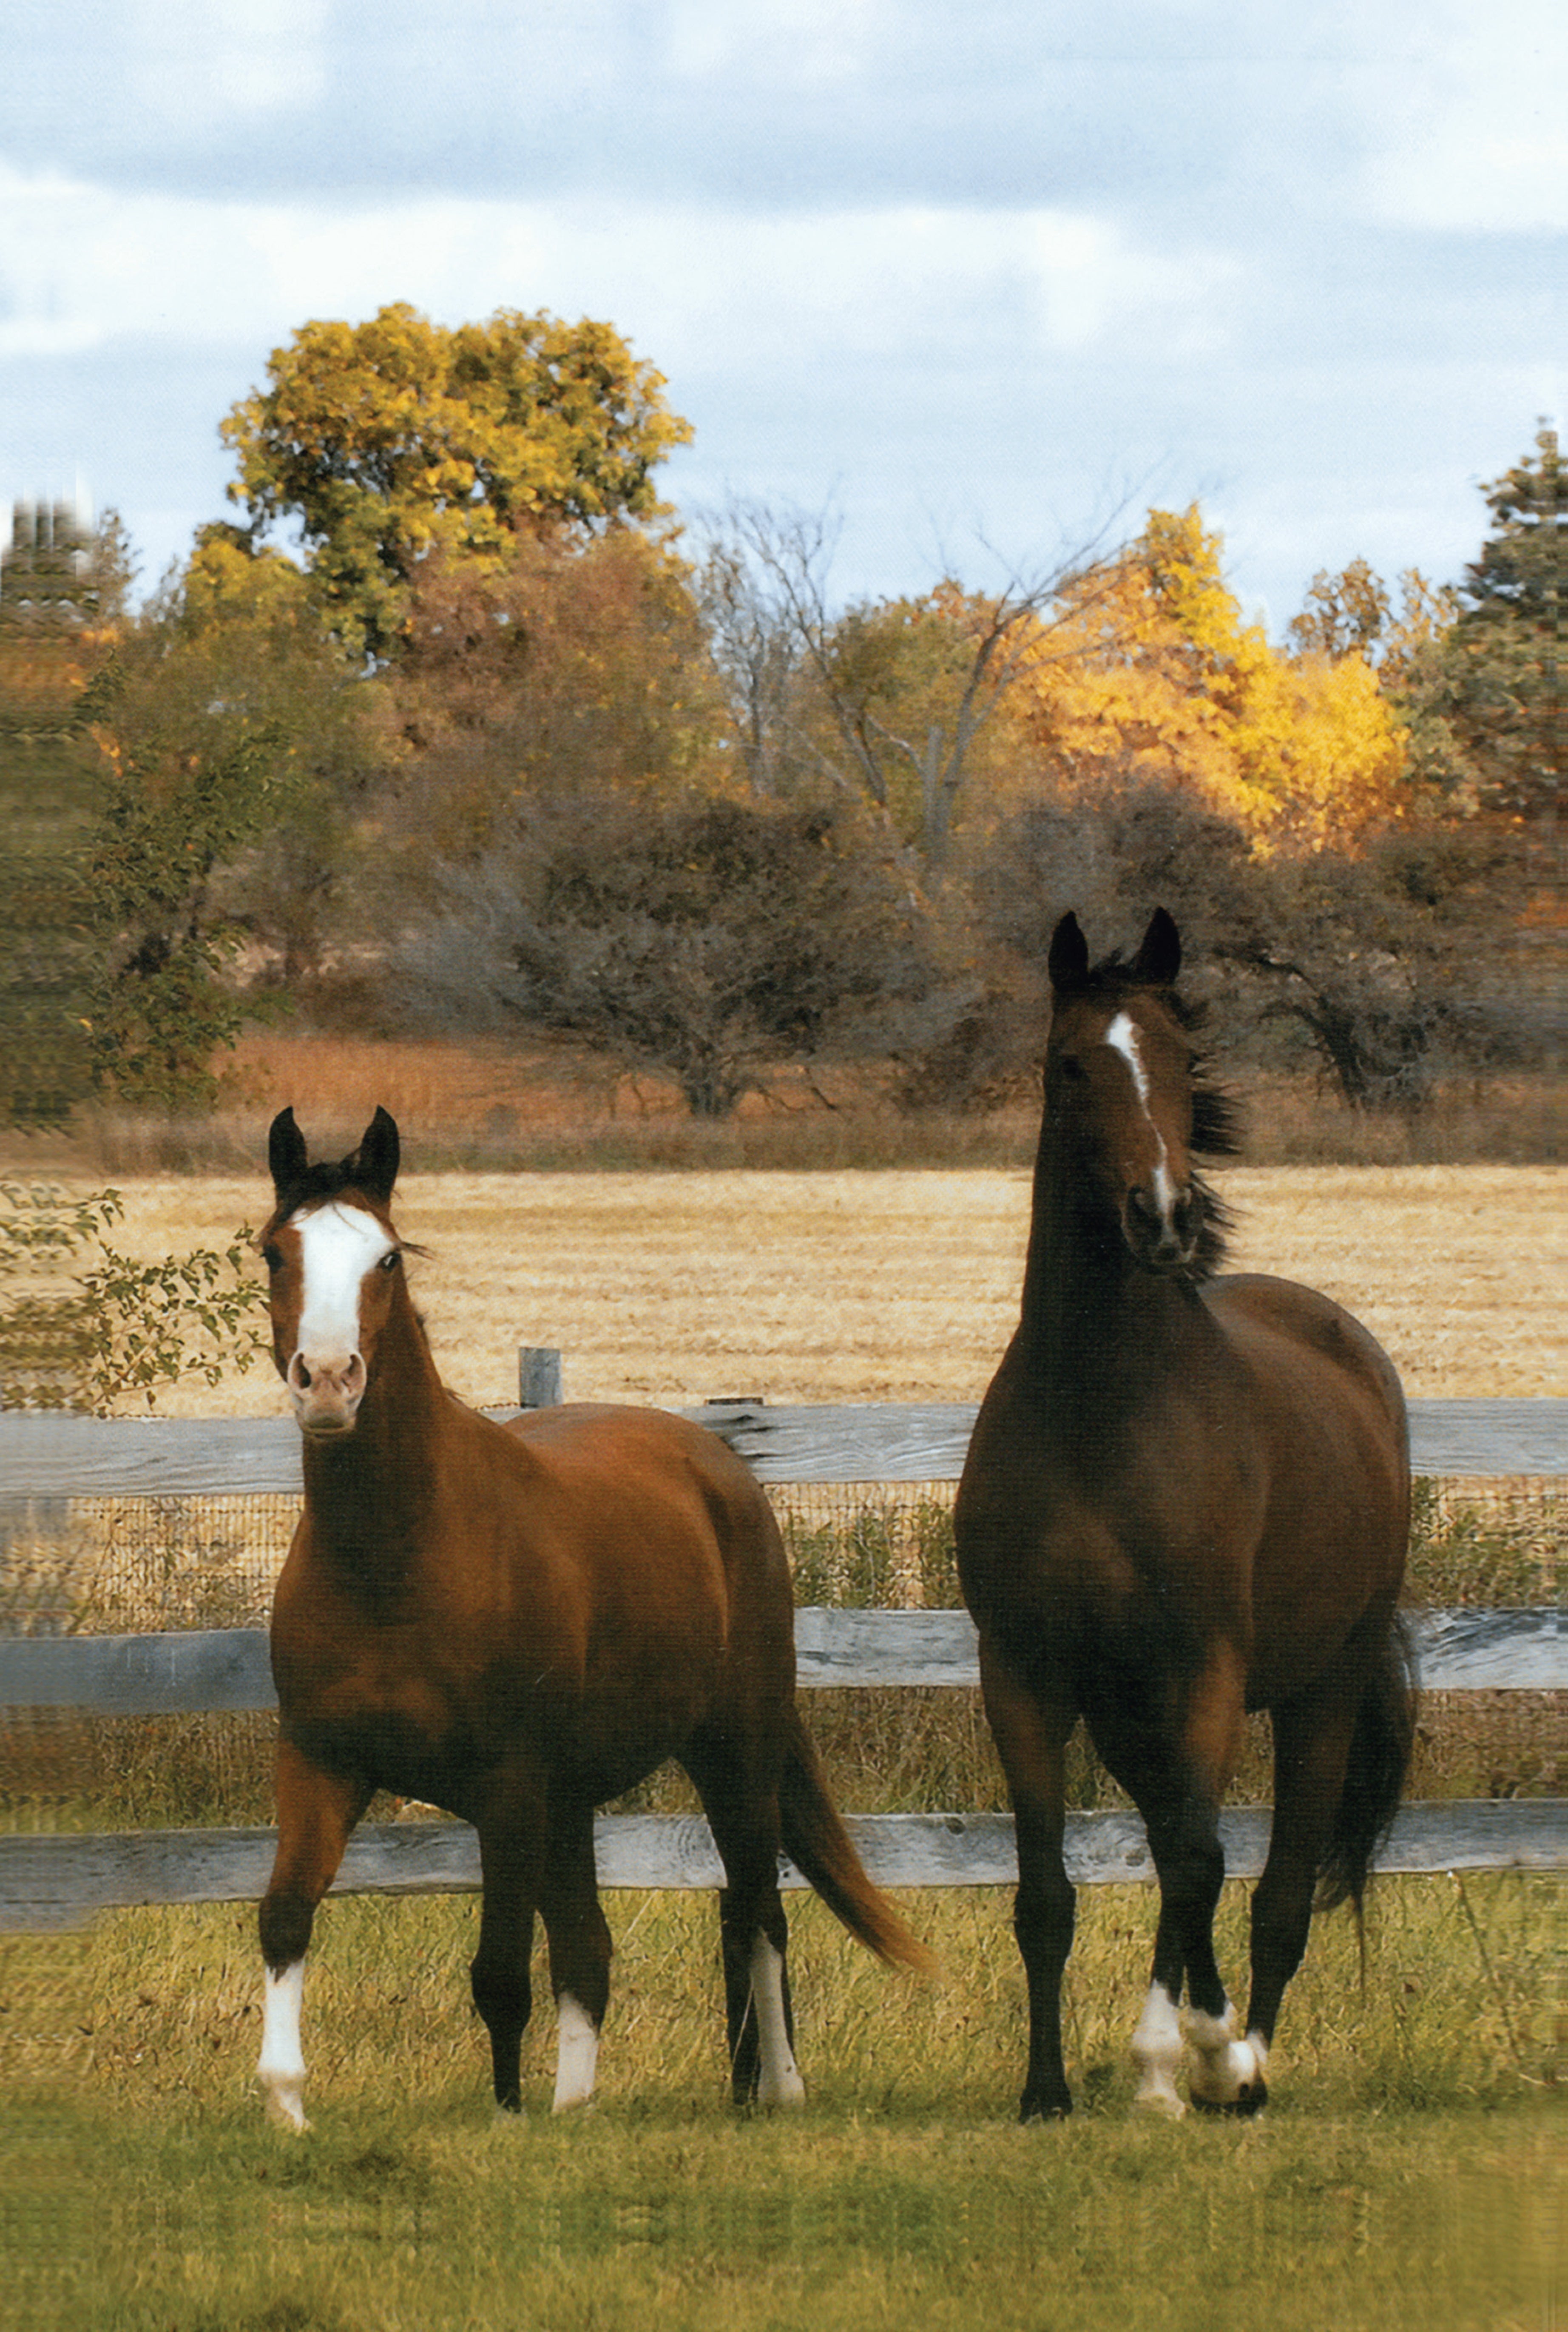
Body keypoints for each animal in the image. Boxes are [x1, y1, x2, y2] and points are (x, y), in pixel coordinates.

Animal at [254, 1106, 930, 2129]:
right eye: (273, 1253)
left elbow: (498, 1973)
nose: (328, 1379)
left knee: (755, 1909)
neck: (396, 1558)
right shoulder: (322, 1764)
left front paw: (505, 2116)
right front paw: (288, 2108)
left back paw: (776, 2088)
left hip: (732, 1749)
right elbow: (287, 1916)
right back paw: (579, 2105)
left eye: (388, 1259)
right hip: (571, 1799)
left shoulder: (505, 1785)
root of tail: (716, 1464)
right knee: (591, 1947)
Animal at [954, 909, 1415, 2119]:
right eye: (1070, 1064)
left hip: (1319, 1692)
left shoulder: (1202, 1663)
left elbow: (1203, 1867)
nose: (1162, 1217)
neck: (1100, 1412)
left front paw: (1191, 2058)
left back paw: (1235, 2066)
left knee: (1272, 1893)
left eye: (1178, 1061)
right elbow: (1046, 1892)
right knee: (1177, 1845)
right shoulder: (1026, 1674)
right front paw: (1046, 2093)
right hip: (1129, 1714)